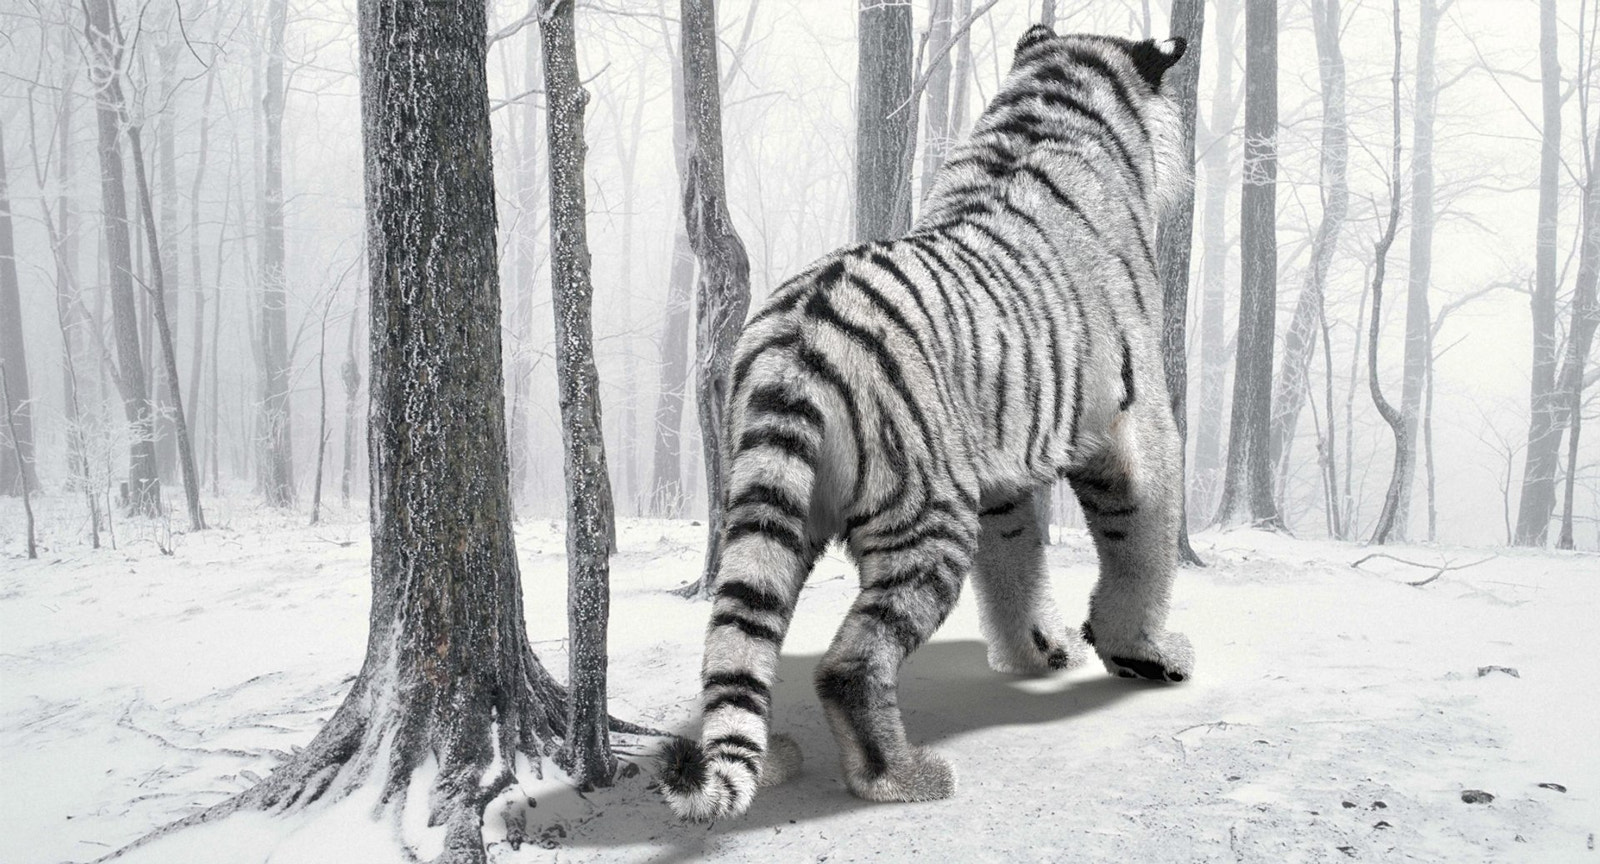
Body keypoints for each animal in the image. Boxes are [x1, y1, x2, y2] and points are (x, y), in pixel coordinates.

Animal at [659, 26, 1195, 821]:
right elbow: (1141, 550)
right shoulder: (1135, 433)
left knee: (735, 639)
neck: (1054, 108)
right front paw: (1147, 653)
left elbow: (1016, 564)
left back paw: (773, 758)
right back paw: (904, 777)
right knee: (848, 665)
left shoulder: (1003, 472)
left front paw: (1039, 651)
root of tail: (799, 334)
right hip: (926, 518)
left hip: (764, 504)